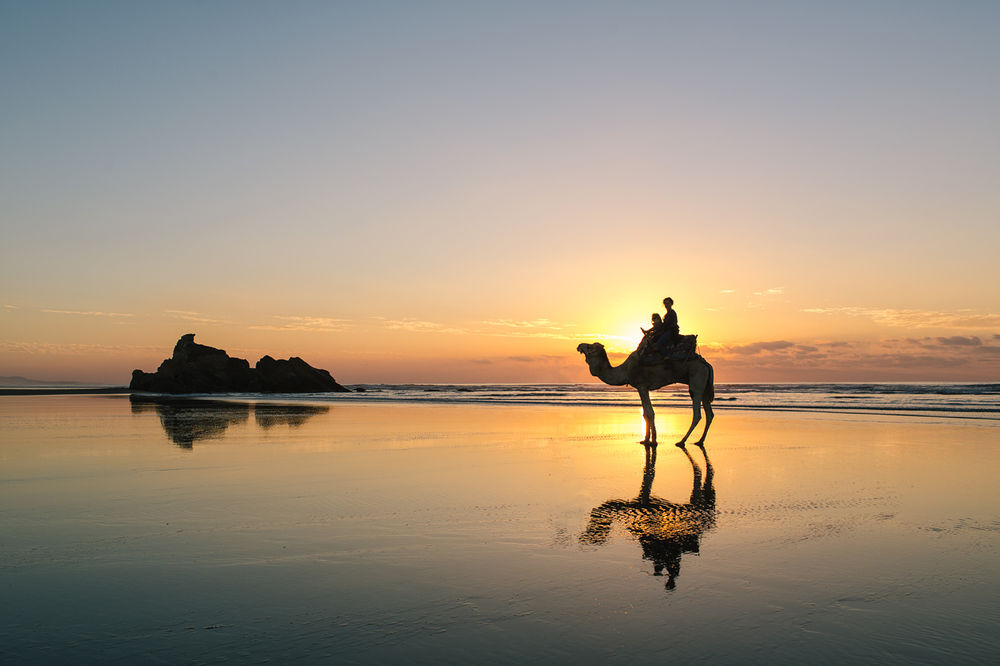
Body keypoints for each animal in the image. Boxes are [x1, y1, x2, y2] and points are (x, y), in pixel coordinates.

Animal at [576, 340, 716, 444]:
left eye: (590, 347)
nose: (579, 346)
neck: (624, 371)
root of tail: (706, 364)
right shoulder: (642, 388)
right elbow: (645, 413)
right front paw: (645, 439)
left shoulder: (642, 386)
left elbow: (649, 413)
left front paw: (653, 440)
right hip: (704, 385)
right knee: (710, 413)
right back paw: (700, 441)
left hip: (696, 379)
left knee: (697, 412)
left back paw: (682, 441)